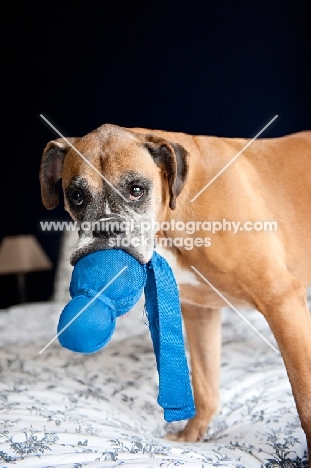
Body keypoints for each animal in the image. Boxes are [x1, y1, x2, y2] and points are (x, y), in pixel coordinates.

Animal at [40, 123, 310, 460]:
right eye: (76, 196)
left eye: (136, 190)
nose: (105, 229)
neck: (177, 207)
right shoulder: (201, 313)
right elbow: (205, 384)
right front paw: (192, 434)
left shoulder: (282, 300)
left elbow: (304, 399)